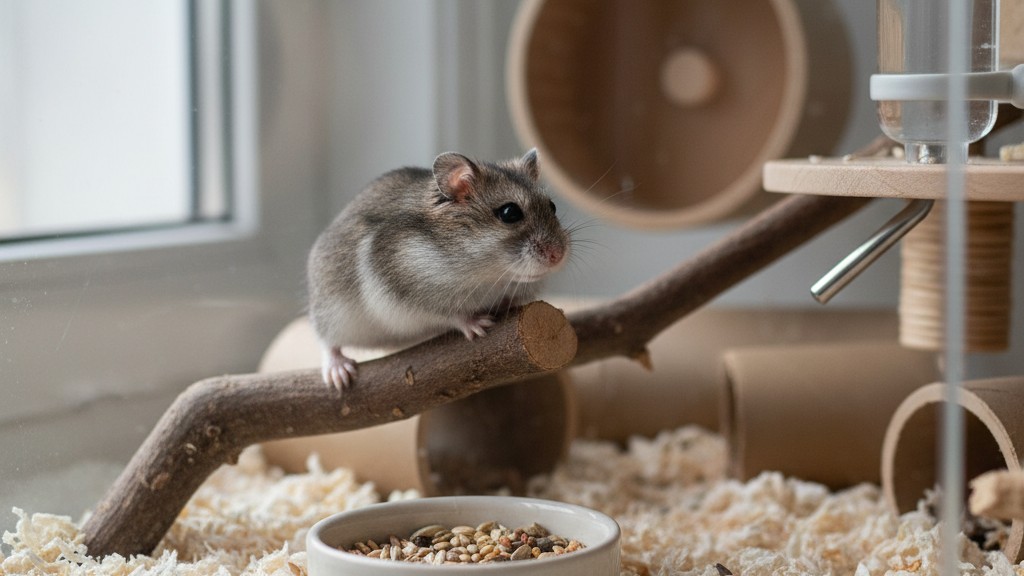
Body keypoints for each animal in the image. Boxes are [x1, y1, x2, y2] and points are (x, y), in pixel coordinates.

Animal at [307, 149, 570, 391]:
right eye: (509, 212)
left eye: (552, 206)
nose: (557, 255)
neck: (487, 275)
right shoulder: (414, 294)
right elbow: (452, 314)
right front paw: (479, 325)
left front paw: (506, 305)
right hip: (332, 312)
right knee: (327, 342)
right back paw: (339, 373)